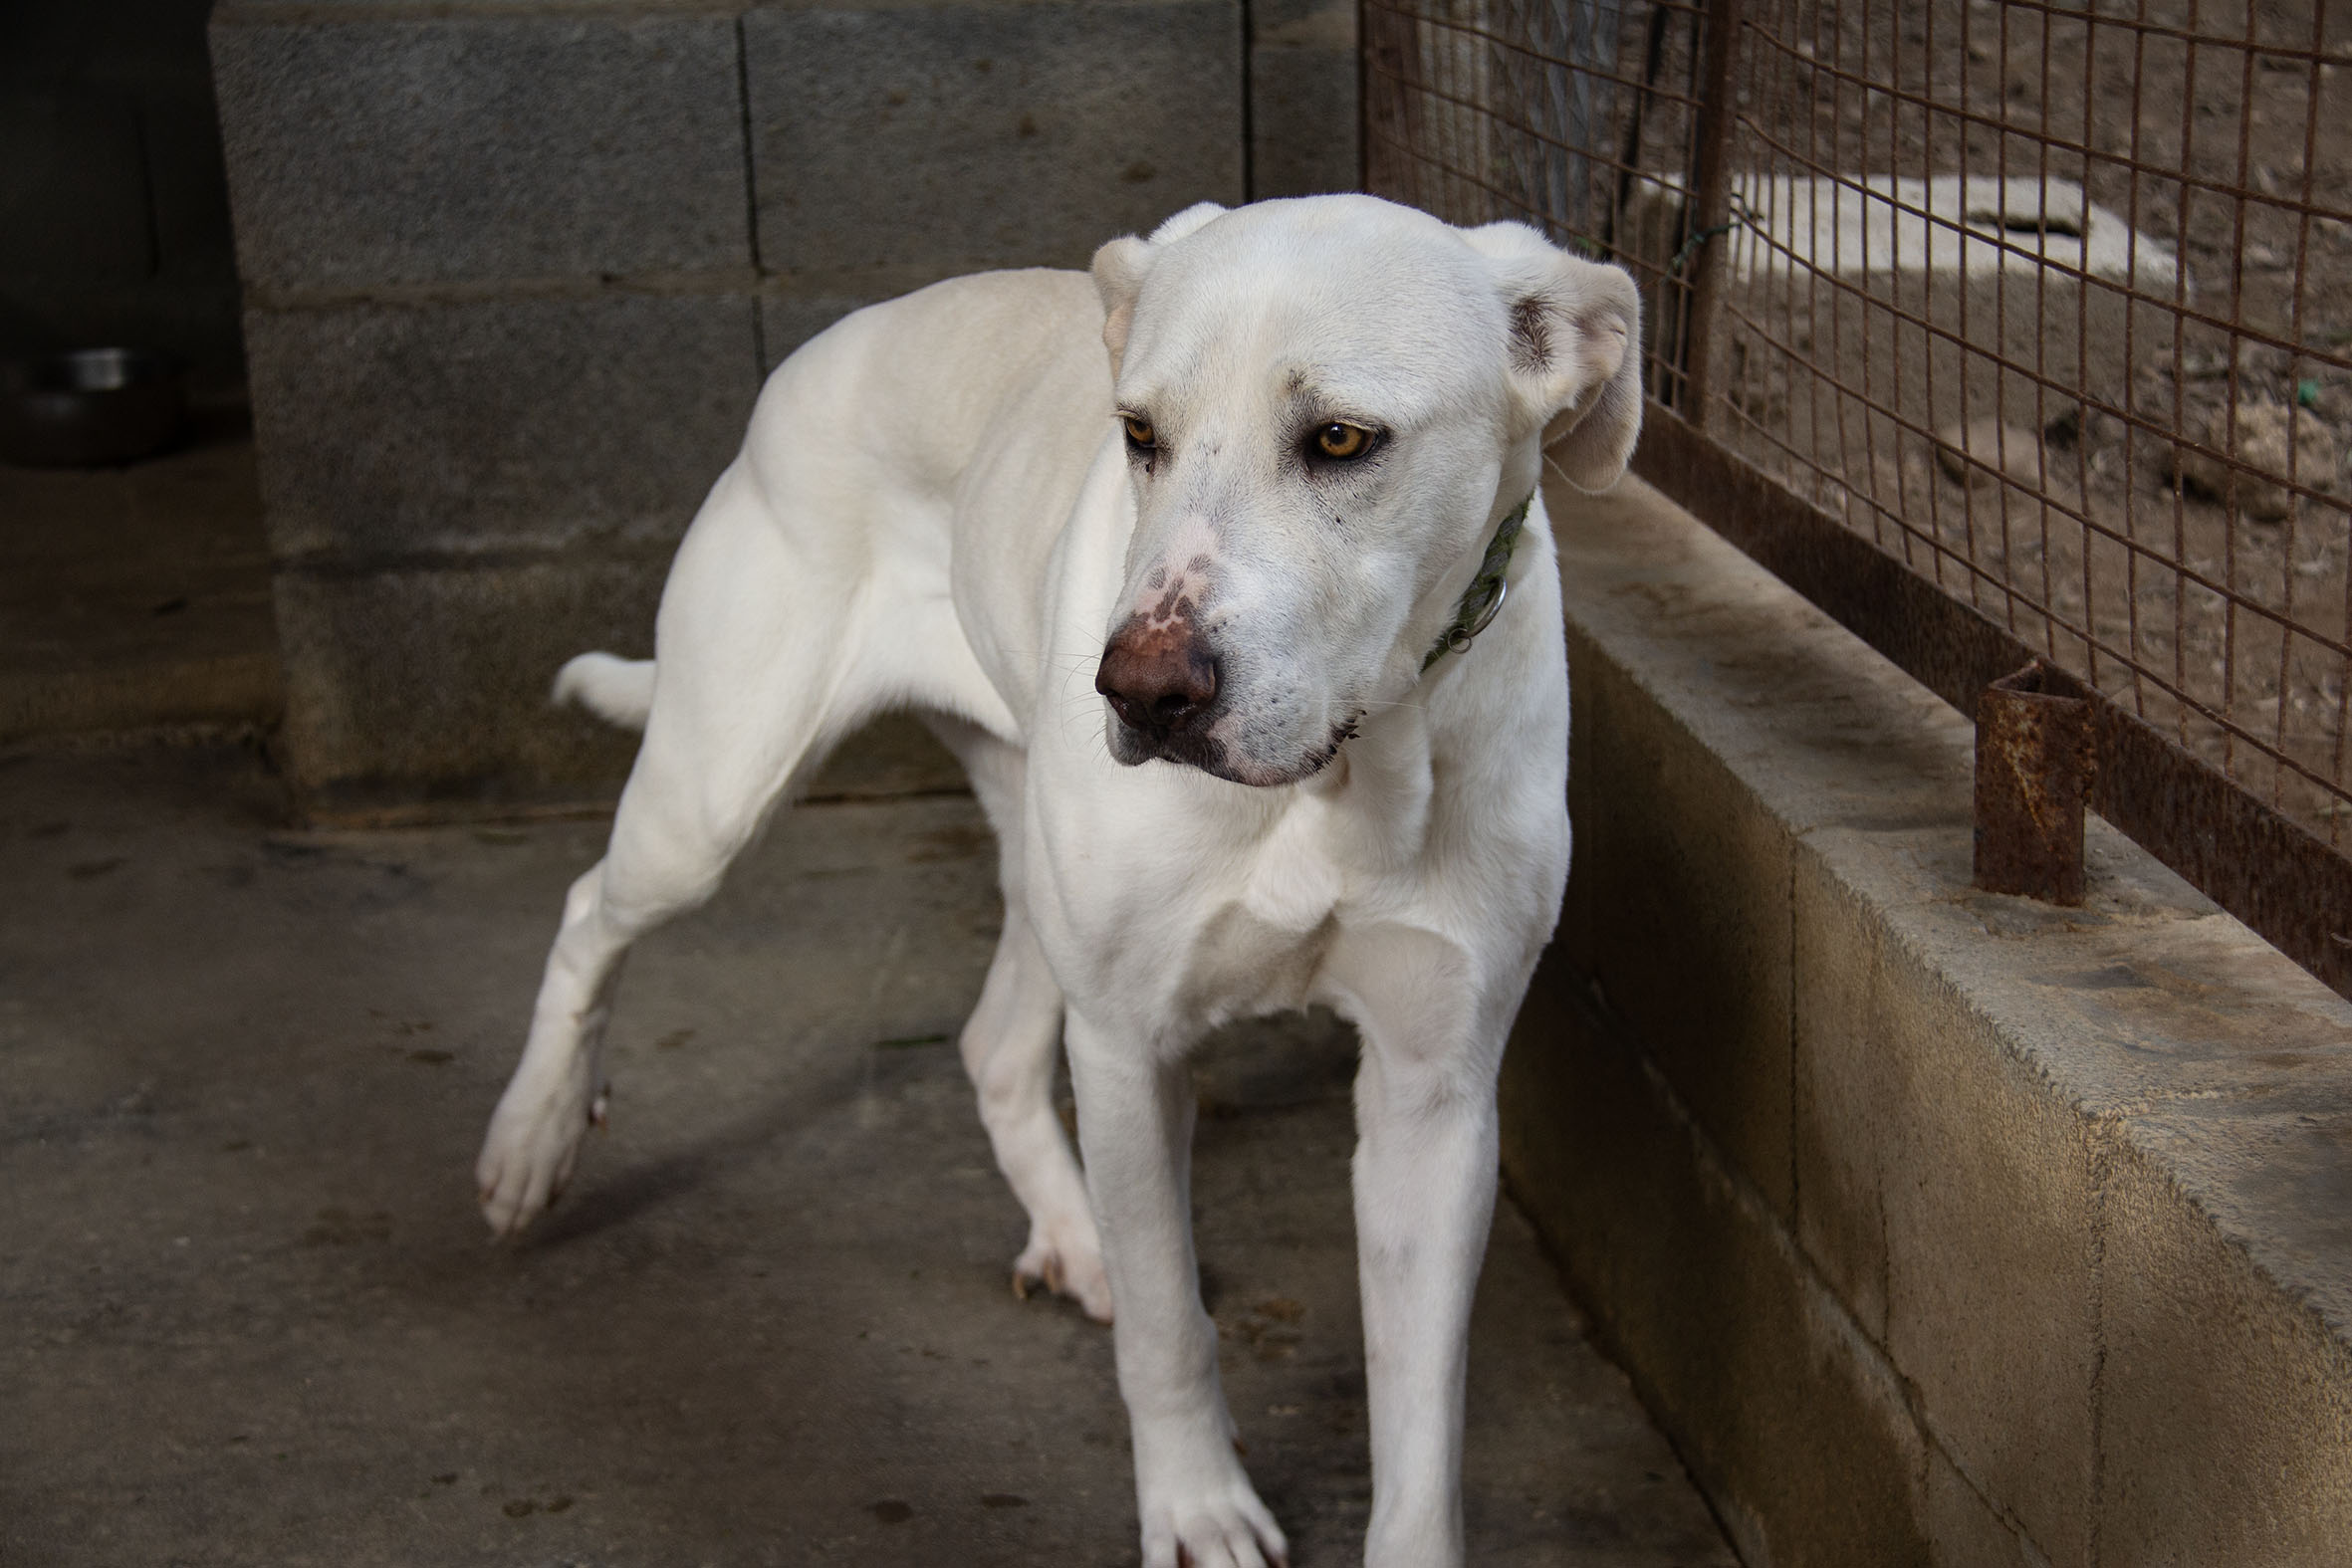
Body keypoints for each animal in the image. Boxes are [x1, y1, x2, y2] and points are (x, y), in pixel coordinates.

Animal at [475, 193, 1641, 1568]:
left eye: (1342, 439)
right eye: (1139, 435)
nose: (1138, 692)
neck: (1339, 773)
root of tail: (822, 349)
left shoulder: (1435, 1095)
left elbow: (1421, 1427)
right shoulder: (1132, 1044)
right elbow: (1168, 1326)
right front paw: (1195, 1508)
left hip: (1027, 869)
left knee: (990, 1045)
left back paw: (1076, 1235)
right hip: (713, 797)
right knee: (586, 912)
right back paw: (532, 1138)